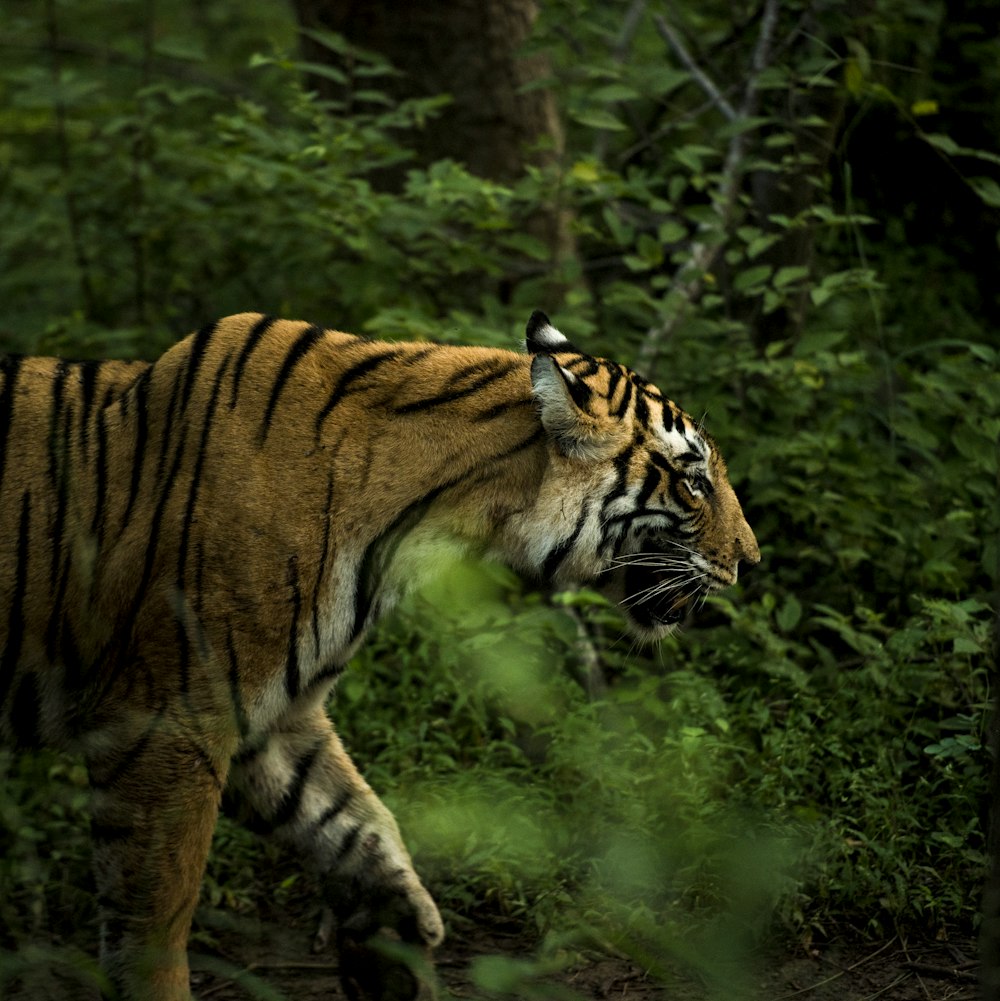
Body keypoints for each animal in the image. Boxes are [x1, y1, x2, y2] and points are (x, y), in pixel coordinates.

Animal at [0, 308, 756, 996]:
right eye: (693, 481)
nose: (751, 559)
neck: (425, 524)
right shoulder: (168, 719)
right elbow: (155, 915)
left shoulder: (271, 720)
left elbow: (356, 827)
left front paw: (393, 947)